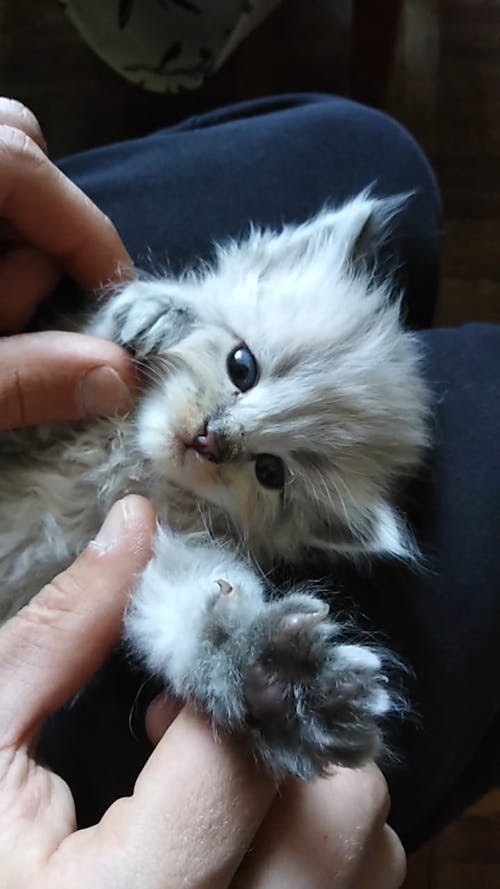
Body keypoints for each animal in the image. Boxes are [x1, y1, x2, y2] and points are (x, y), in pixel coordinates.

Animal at [0, 193, 430, 776]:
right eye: (241, 365)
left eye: (270, 472)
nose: (210, 439)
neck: (126, 459)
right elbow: (78, 345)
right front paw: (155, 311)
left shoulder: (168, 547)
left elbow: (193, 614)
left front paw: (279, 679)